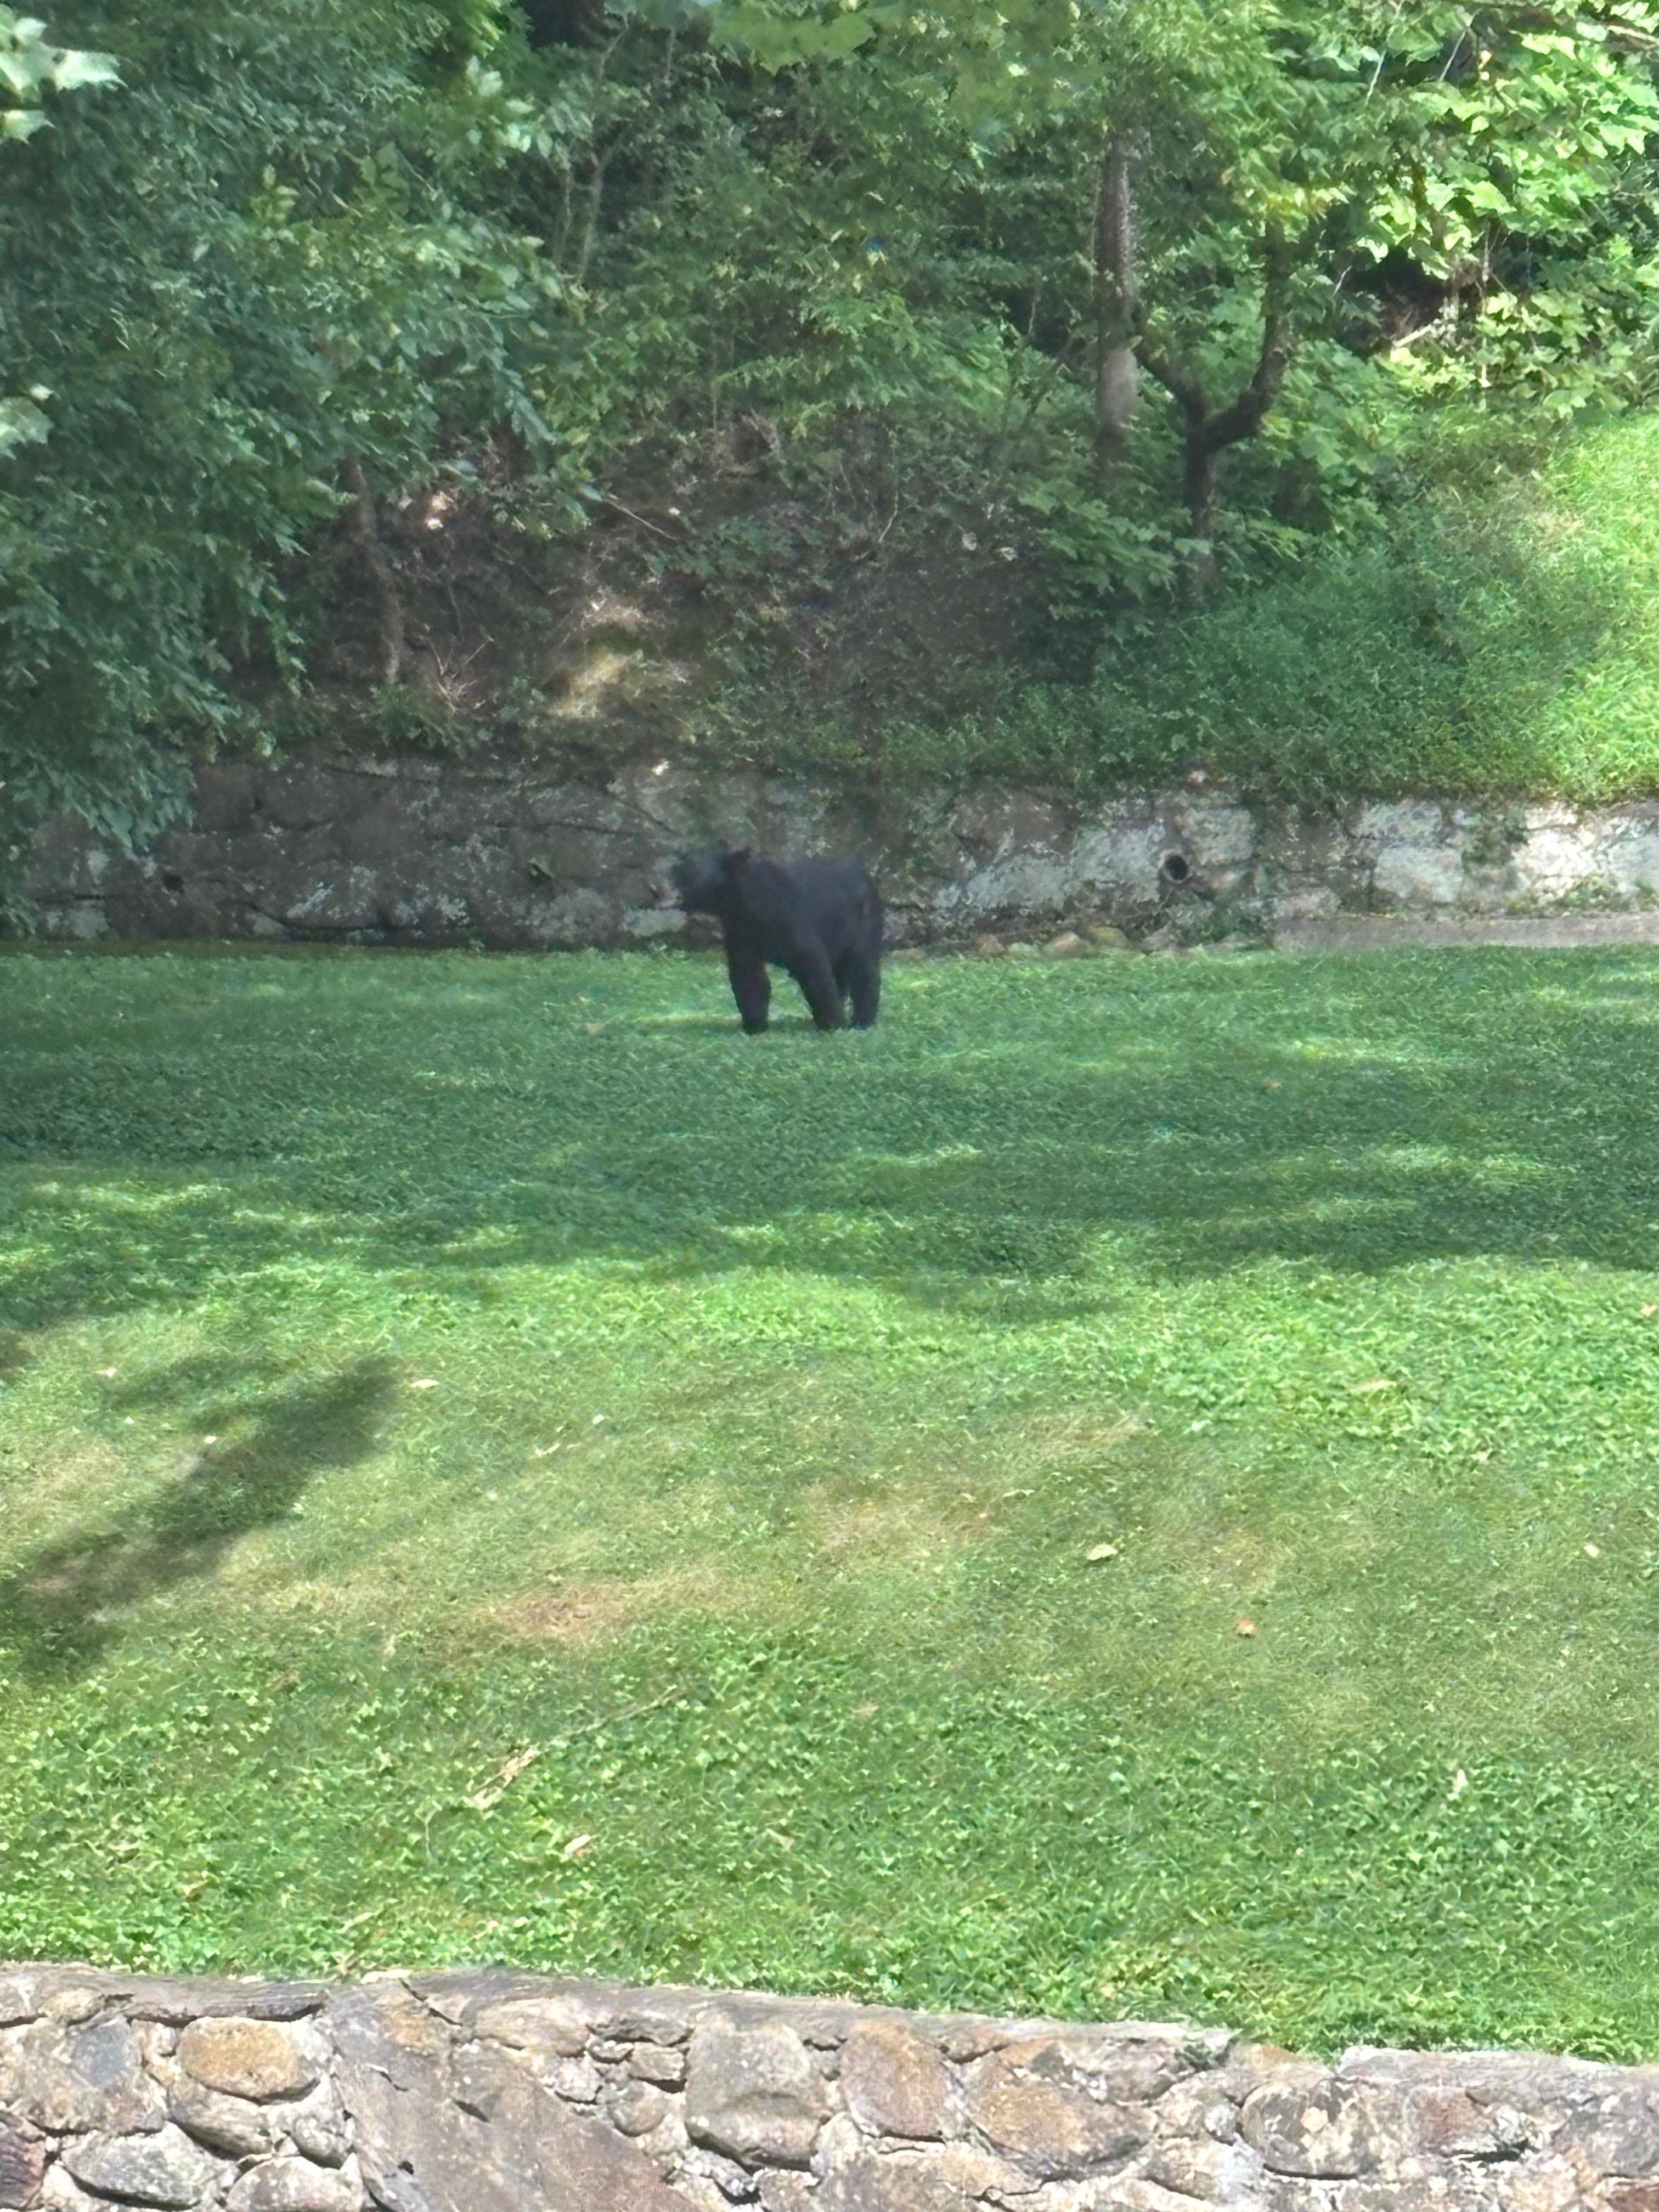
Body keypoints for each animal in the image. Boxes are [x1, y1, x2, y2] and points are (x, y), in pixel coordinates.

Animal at [668, 844, 883, 1032]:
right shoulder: (742, 933)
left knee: (863, 969)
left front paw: (834, 1023)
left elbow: (815, 969)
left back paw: (863, 1020)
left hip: (863, 925)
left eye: (689, 864)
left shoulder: (792, 922)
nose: (669, 871)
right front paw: (755, 1025)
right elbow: (748, 975)